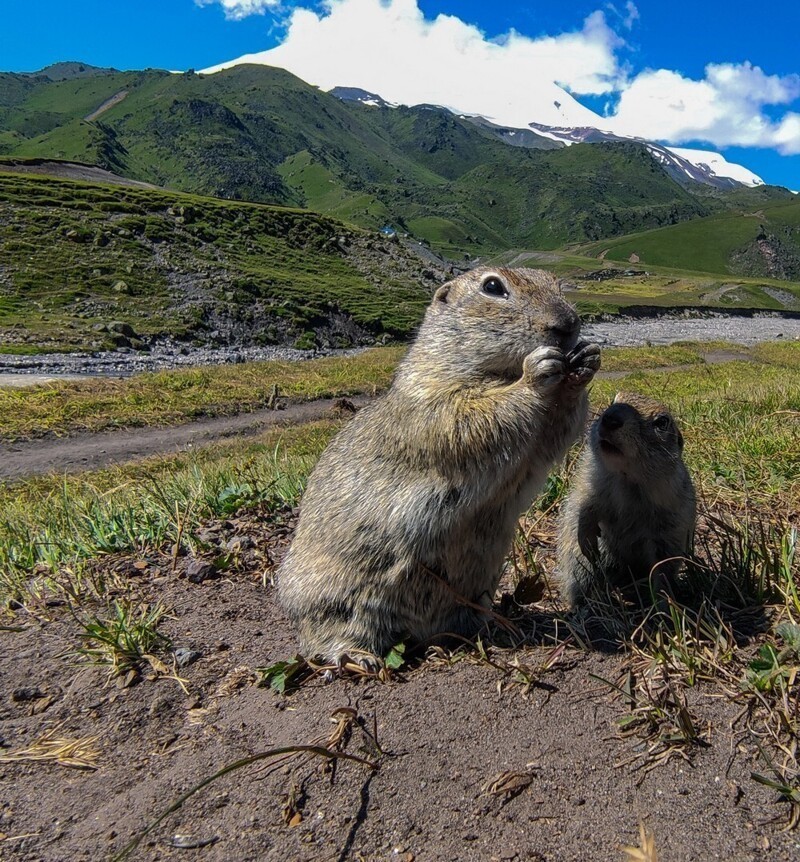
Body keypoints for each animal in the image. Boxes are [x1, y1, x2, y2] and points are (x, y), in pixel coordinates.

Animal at [278, 268, 596, 668]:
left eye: (556, 282)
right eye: (493, 286)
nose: (568, 324)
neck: (496, 371)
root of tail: (418, 634)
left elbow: (554, 434)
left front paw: (587, 359)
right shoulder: (430, 397)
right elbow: (467, 418)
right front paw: (536, 373)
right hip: (335, 599)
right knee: (323, 636)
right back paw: (358, 657)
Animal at [556, 394, 692, 608]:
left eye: (662, 422)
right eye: (613, 400)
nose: (610, 418)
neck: (626, 478)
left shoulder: (671, 519)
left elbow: (663, 566)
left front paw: (664, 605)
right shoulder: (589, 482)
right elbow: (584, 505)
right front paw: (587, 540)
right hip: (580, 564)